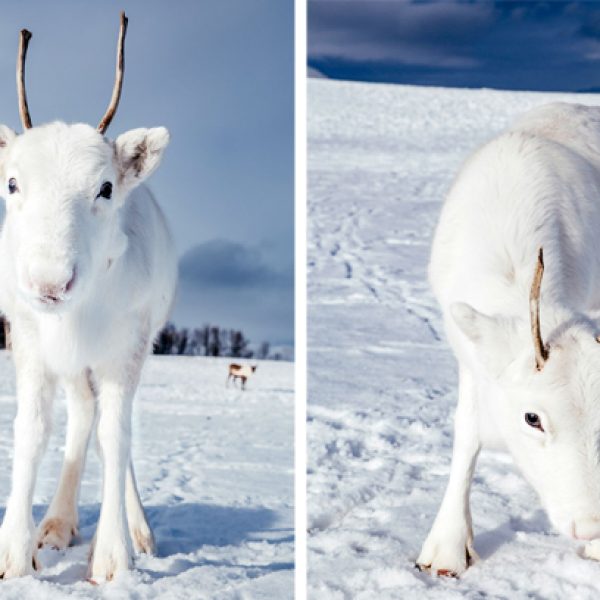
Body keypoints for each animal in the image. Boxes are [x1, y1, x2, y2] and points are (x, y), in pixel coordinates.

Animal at [0, 14, 177, 580]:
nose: (50, 284)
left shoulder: (127, 348)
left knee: (111, 433)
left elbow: (115, 439)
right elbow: (32, 430)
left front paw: (114, 558)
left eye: (105, 188)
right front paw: (16, 556)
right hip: (76, 368)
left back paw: (136, 531)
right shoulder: (29, 343)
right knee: (81, 415)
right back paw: (56, 524)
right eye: (12, 184)